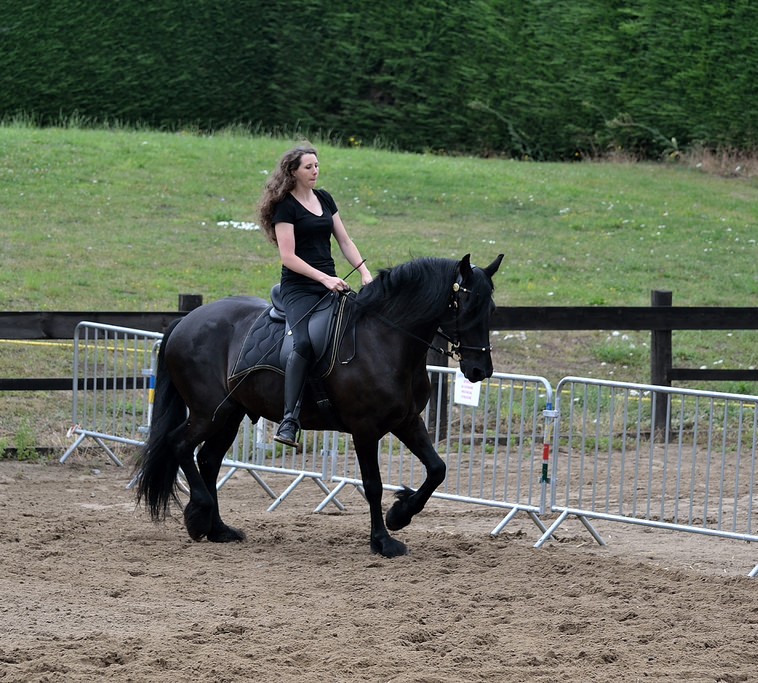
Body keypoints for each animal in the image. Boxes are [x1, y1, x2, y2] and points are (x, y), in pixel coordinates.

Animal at [134, 253, 504, 557]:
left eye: (491, 310)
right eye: (466, 306)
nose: (480, 371)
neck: (384, 339)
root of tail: (184, 321)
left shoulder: (407, 420)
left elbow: (437, 469)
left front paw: (400, 514)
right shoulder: (365, 429)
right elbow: (373, 485)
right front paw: (383, 541)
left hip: (230, 414)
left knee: (208, 460)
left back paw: (218, 529)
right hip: (209, 412)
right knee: (179, 445)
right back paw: (199, 514)